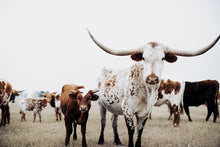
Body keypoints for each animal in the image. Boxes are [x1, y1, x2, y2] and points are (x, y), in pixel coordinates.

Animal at [88, 30, 219, 147]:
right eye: (143, 58)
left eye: (163, 58)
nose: (152, 78)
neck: (146, 92)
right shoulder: (127, 110)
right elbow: (131, 131)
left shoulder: (145, 113)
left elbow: (140, 131)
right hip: (101, 104)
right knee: (103, 122)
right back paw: (101, 140)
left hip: (115, 106)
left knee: (113, 121)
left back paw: (118, 141)